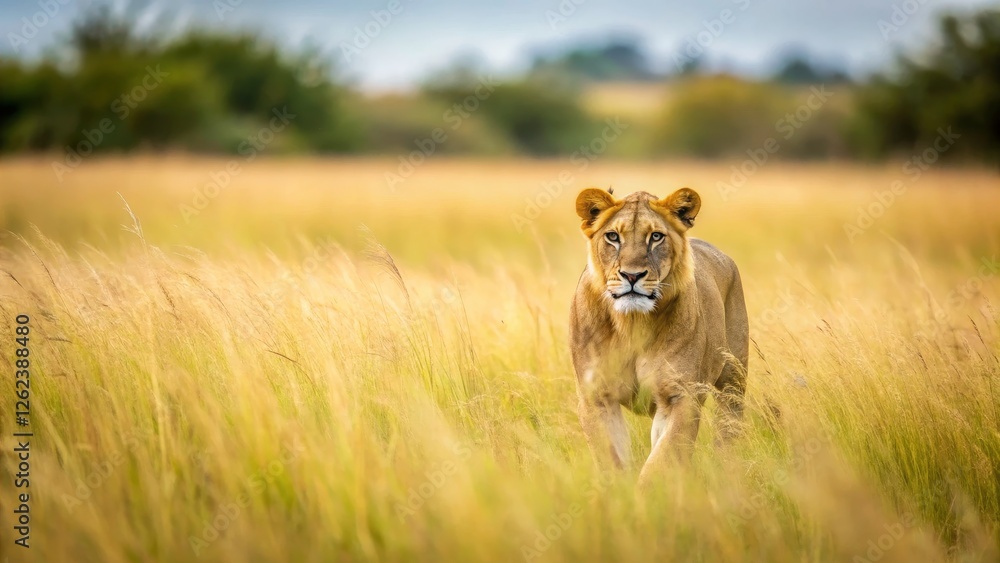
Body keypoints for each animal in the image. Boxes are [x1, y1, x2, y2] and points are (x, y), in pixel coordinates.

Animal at [569, 186, 748, 485]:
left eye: (655, 237)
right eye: (613, 237)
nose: (632, 276)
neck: (631, 324)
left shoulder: (680, 397)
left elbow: (661, 462)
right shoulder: (596, 397)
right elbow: (611, 459)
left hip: (733, 379)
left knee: (728, 430)